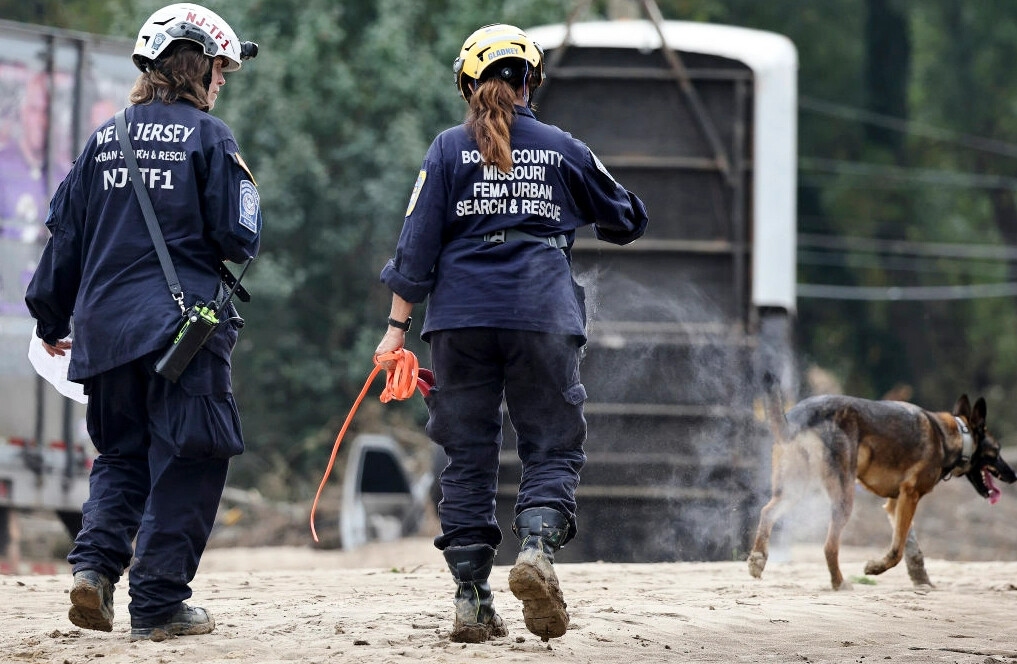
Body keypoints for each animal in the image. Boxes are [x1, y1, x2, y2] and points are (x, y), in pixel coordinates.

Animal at [744, 378, 1012, 589]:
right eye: (997, 452)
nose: (1014, 475)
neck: (954, 434)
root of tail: (801, 416)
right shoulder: (910, 495)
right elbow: (897, 550)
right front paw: (875, 568)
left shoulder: (897, 503)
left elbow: (910, 547)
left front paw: (921, 580)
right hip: (843, 499)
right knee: (829, 546)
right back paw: (839, 583)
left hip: (793, 491)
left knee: (767, 512)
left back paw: (758, 559)